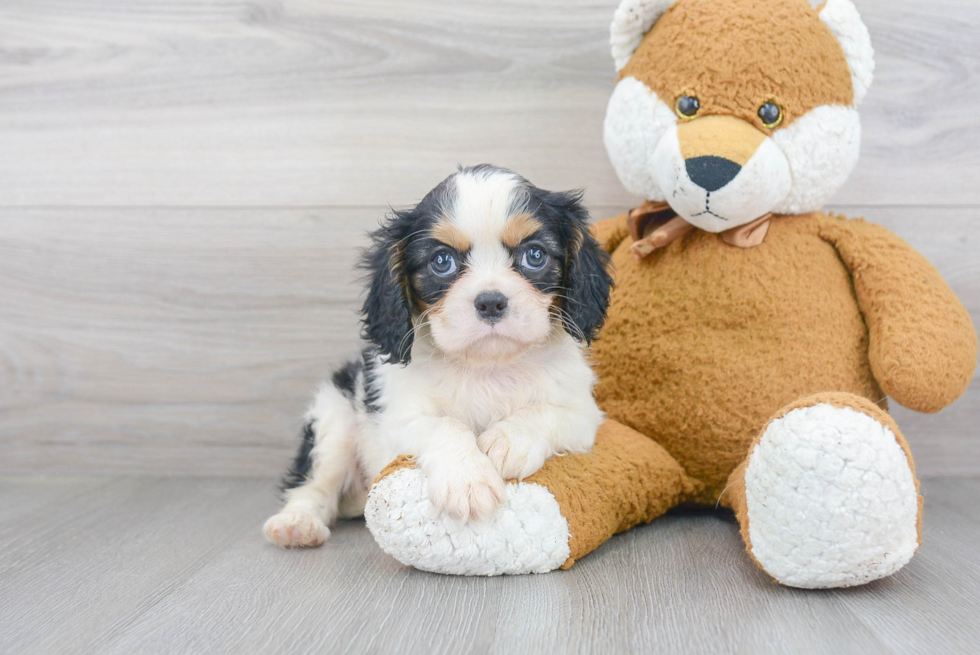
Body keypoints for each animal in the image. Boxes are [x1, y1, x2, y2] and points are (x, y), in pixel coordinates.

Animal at [260, 165, 612, 548]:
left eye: (534, 256)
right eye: (442, 262)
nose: (490, 302)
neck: (487, 366)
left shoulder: (583, 416)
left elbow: (545, 412)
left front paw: (508, 441)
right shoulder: (397, 420)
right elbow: (445, 426)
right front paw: (468, 481)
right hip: (334, 417)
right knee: (313, 484)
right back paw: (297, 523)